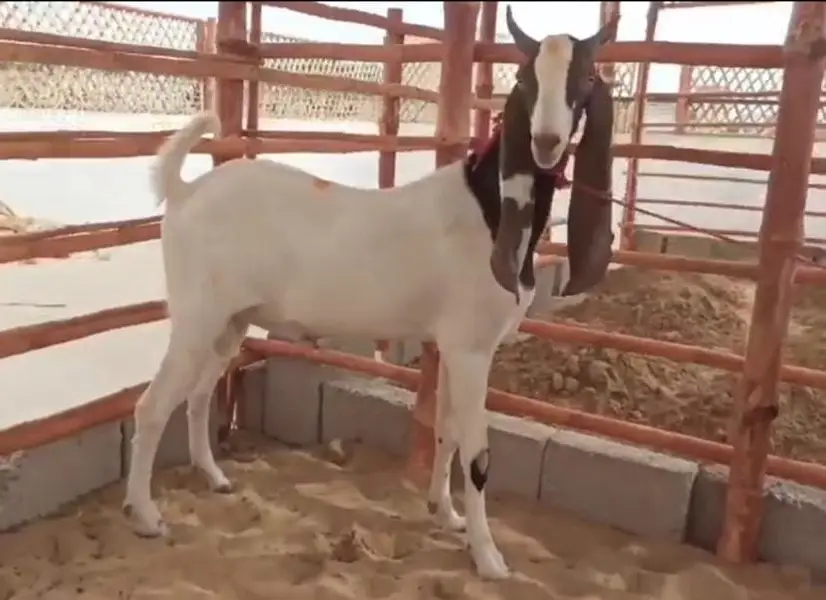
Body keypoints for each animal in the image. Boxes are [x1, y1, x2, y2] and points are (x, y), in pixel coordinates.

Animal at [123, 8, 617, 580]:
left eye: (586, 78)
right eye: (523, 78)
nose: (546, 141)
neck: (488, 210)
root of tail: (184, 192)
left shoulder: (451, 345)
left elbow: (447, 429)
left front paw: (445, 514)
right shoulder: (472, 347)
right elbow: (477, 452)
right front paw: (489, 558)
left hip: (231, 320)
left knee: (200, 394)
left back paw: (215, 477)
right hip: (196, 315)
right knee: (152, 405)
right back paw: (145, 516)